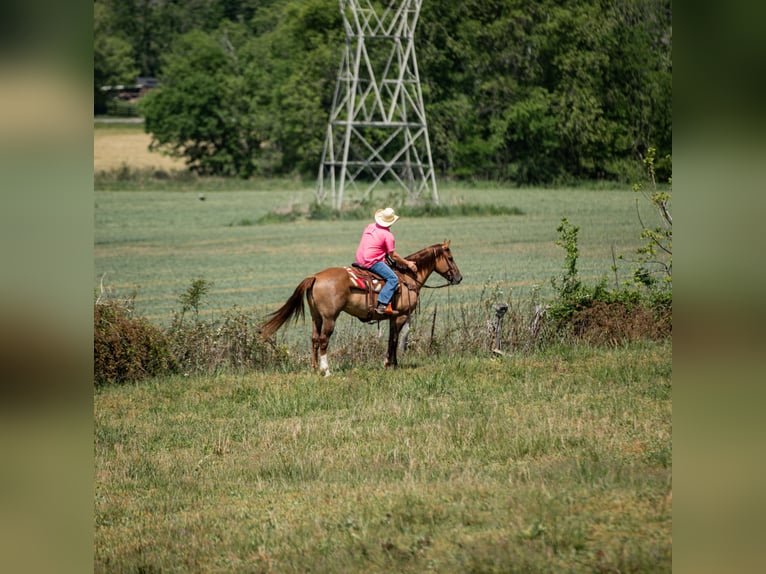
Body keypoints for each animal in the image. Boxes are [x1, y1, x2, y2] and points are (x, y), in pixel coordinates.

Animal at [259, 240, 463, 376]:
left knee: (315, 339)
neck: (408, 278)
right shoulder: (401, 316)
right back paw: (327, 371)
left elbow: (391, 339)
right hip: (330, 318)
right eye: (450, 258)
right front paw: (391, 364)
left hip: (316, 317)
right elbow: (395, 339)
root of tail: (315, 277)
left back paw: (315, 368)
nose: (458, 278)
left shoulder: (392, 317)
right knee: (324, 340)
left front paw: (390, 363)